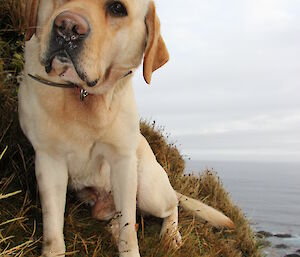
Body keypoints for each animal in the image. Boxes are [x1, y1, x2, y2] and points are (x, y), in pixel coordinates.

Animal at [18, 0, 234, 256]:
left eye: (117, 8)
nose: (67, 27)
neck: (82, 94)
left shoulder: (122, 163)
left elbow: (129, 230)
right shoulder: (49, 160)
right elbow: (53, 230)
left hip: (149, 190)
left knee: (170, 206)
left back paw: (170, 234)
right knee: (118, 216)